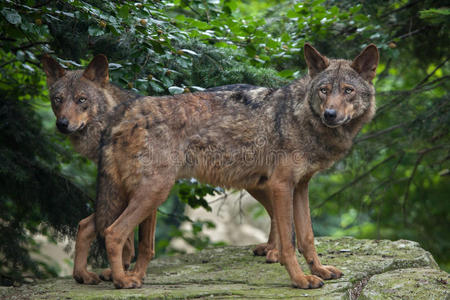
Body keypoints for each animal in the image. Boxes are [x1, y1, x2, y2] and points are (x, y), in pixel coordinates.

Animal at [90, 42, 380, 288]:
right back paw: (123, 281)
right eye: (324, 90)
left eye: (348, 90)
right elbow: (289, 242)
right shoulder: (281, 185)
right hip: (155, 192)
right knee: (113, 233)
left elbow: (307, 237)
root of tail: (126, 111)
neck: (300, 117)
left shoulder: (300, 187)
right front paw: (300, 280)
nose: (330, 114)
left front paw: (319, 271)